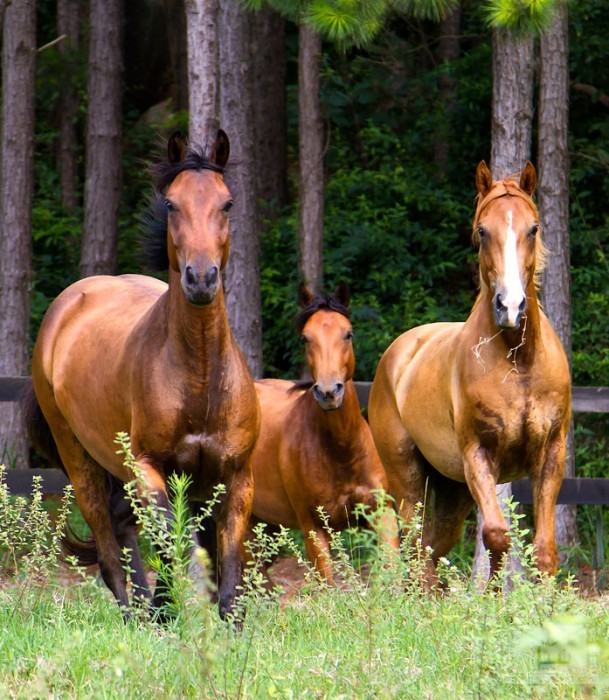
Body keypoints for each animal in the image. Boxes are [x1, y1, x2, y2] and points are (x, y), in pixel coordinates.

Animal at [24, 131, 258, 616]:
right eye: (171, 203)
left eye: (227, 203)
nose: (201, 278)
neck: (200, 380)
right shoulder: (150, 469)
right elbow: (171, 536)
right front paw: (170, 608)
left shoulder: (236, 477)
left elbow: (228, 566)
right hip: (80, 460)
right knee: (108, 542)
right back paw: (139, 613)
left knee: (123, 524)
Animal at [249, 282, 396, 584]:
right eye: (306, 338)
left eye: (348, 333)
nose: (329, 392)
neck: (341, 452)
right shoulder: (313, 528)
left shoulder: (382, 513)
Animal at [366, 161, 568, 584]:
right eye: (482, 231)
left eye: (533, 228)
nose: (511, 307)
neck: (519, 364)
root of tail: (398, 353)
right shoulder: (478, 455)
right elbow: (496, 536)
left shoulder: (551, 454)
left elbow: (545, 552)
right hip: (408, 480)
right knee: (413, 548)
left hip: (450, 488)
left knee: (430, 549)